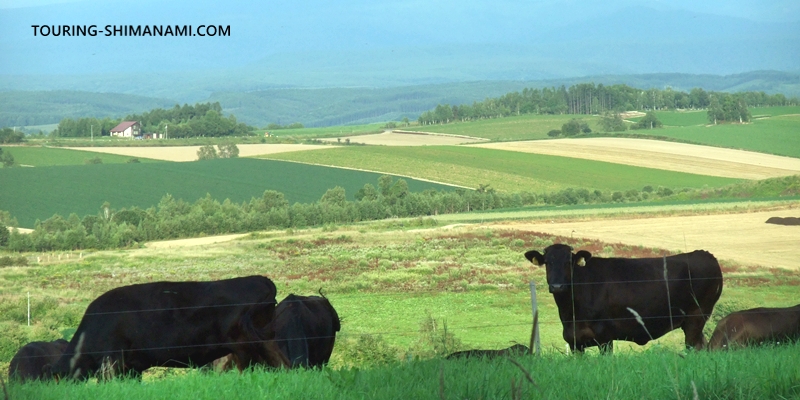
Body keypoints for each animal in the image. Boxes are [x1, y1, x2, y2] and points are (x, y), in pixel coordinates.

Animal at [45, 275, 287, 380]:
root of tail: (261, 279)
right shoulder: (131, 367)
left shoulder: (112, 360)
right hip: (263, 340)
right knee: (280, 361)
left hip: (244, 345)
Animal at [525, 244, 723, 353]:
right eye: (547, 262)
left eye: (568, 263)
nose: (557, 286)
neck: (571, 312)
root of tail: (705, 254)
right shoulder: (574, 341)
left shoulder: (604, 337)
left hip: (696, 317)